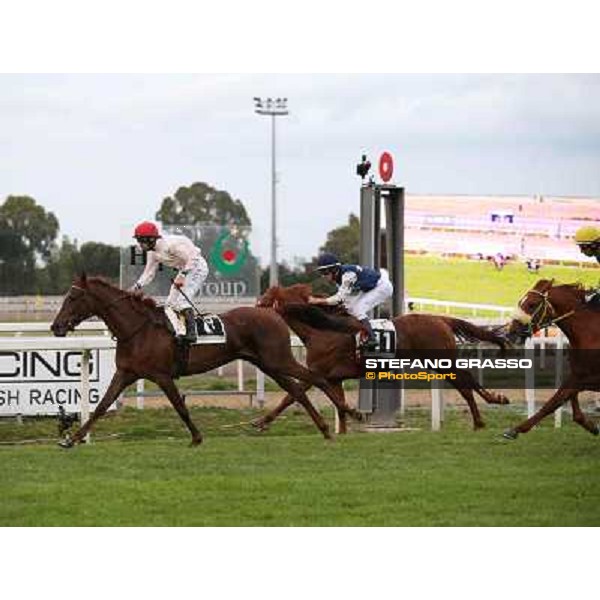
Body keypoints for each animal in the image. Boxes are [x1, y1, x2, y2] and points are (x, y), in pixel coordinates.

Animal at [50, 274, 356, 442]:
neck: (138, 329)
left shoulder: (161, 375)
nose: (56, 326)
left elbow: (180, 406)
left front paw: (196, 437)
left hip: (278, 360)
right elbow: (101, 406)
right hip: (268, 363)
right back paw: (324, 428)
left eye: (73, 298)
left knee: (315, 379)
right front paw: (72, 439)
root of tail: (272, 312)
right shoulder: (126, 373)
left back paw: (350, 413)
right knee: (297, 390)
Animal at [254, 282, 510, 432]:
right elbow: (338, 404)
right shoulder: (334, 378)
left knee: (466, 380)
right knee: (464, 385)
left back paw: (493, 402)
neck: (320, 329)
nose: (253, 307)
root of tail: (441, 319)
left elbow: (292, 395)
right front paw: (344, 429)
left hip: (442, 361)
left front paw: (261, 422)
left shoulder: (318, 372)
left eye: (265, 295)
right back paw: (480, 419)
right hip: (439, 363)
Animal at [504, 278, 596, 438]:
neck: (590, 333)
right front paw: (590, 425)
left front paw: (517, 429)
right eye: (521, 302)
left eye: (532, 304)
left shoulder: (591, 378)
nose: (512, 331)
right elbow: (567, 396)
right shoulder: (578, 373)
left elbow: (554, 401)